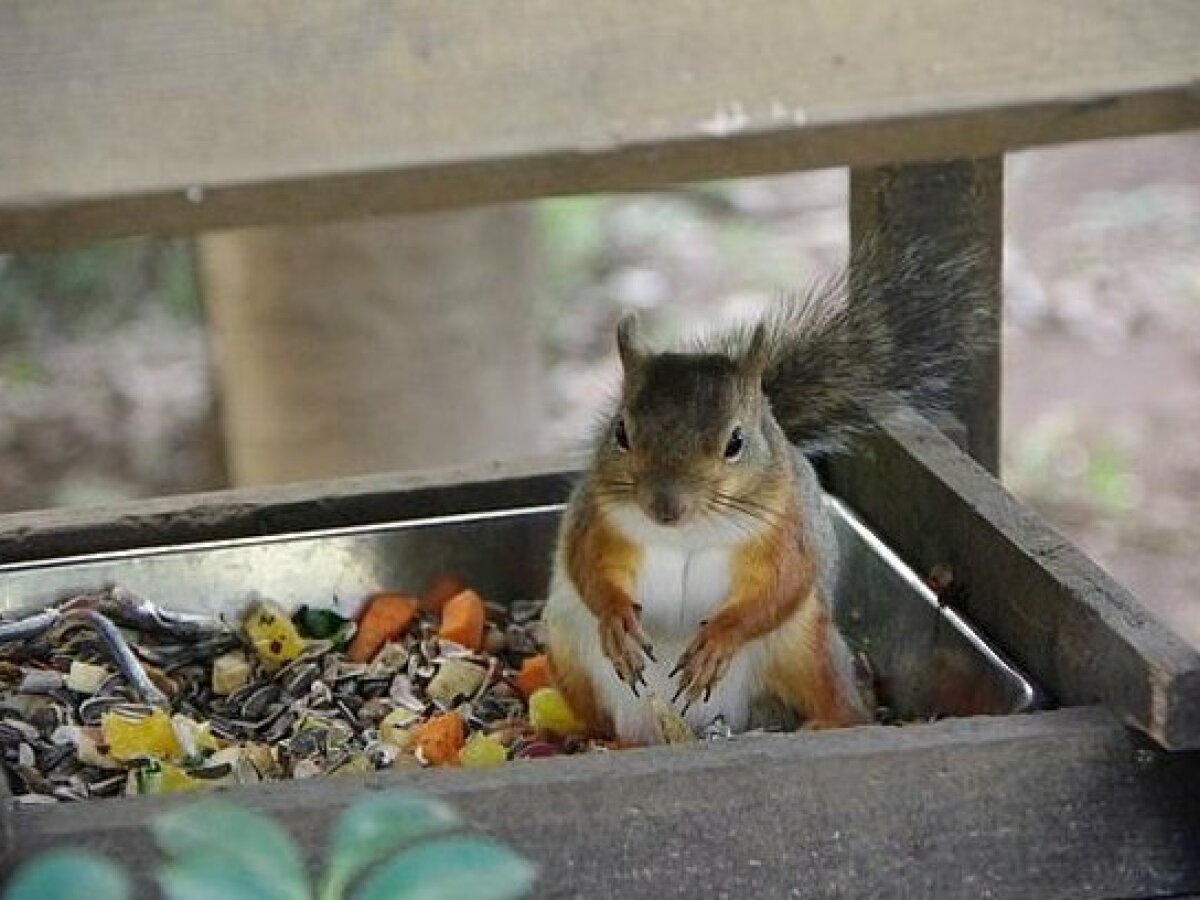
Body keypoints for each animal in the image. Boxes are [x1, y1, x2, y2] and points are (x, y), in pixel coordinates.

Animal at [544, 240, 993, 748]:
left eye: (735, 442)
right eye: (620, 432)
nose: (665, 507)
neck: (689, 530)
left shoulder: (788, 525)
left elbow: (784, 583)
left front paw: (720, 640)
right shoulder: (594, 518)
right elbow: (587, 568)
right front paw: (617, 619)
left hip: (806, 650)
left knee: (843, 702)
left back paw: (828, 722)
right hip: (569, 651)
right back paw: (603, 741)